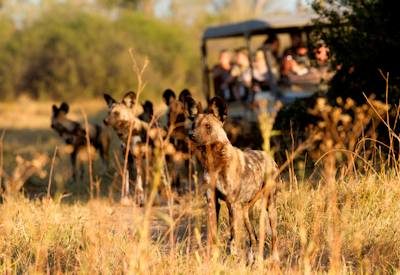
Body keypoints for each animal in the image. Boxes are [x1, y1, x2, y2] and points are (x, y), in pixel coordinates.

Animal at [188, 96, 278, 260]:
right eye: (193, 124)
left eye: (208, 126)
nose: (190, 134)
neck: (215, 162)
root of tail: (270, 157)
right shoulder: (212, 202)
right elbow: (213, 235)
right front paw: (213, 257)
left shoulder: (231, 204)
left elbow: (233, 238)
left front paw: (233, 257)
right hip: (245, 212)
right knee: (253, 237)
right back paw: (254, 260)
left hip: (269, 206)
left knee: (274, 235)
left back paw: (274, 259)